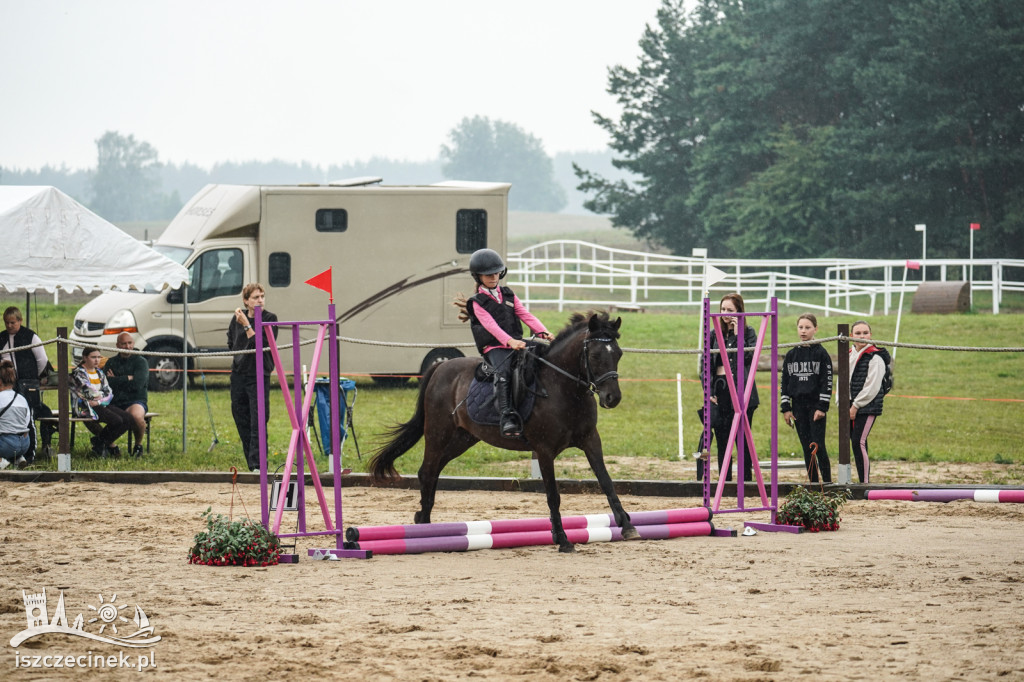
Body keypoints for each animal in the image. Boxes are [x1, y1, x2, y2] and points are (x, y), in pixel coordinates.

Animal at [368, 311, 638, 548]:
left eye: (618, 354)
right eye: (595, 355)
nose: (612, 398)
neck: (563, 388)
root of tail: (439, 369)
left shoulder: (591, 440)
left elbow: (606, 481)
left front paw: (627, 526)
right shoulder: (544, 450)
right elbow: (553, 495)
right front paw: (562, 540)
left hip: (462, 439)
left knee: (432, 472)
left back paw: (423, 524)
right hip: (438, 434)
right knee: (427, 472)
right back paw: (424, 526)